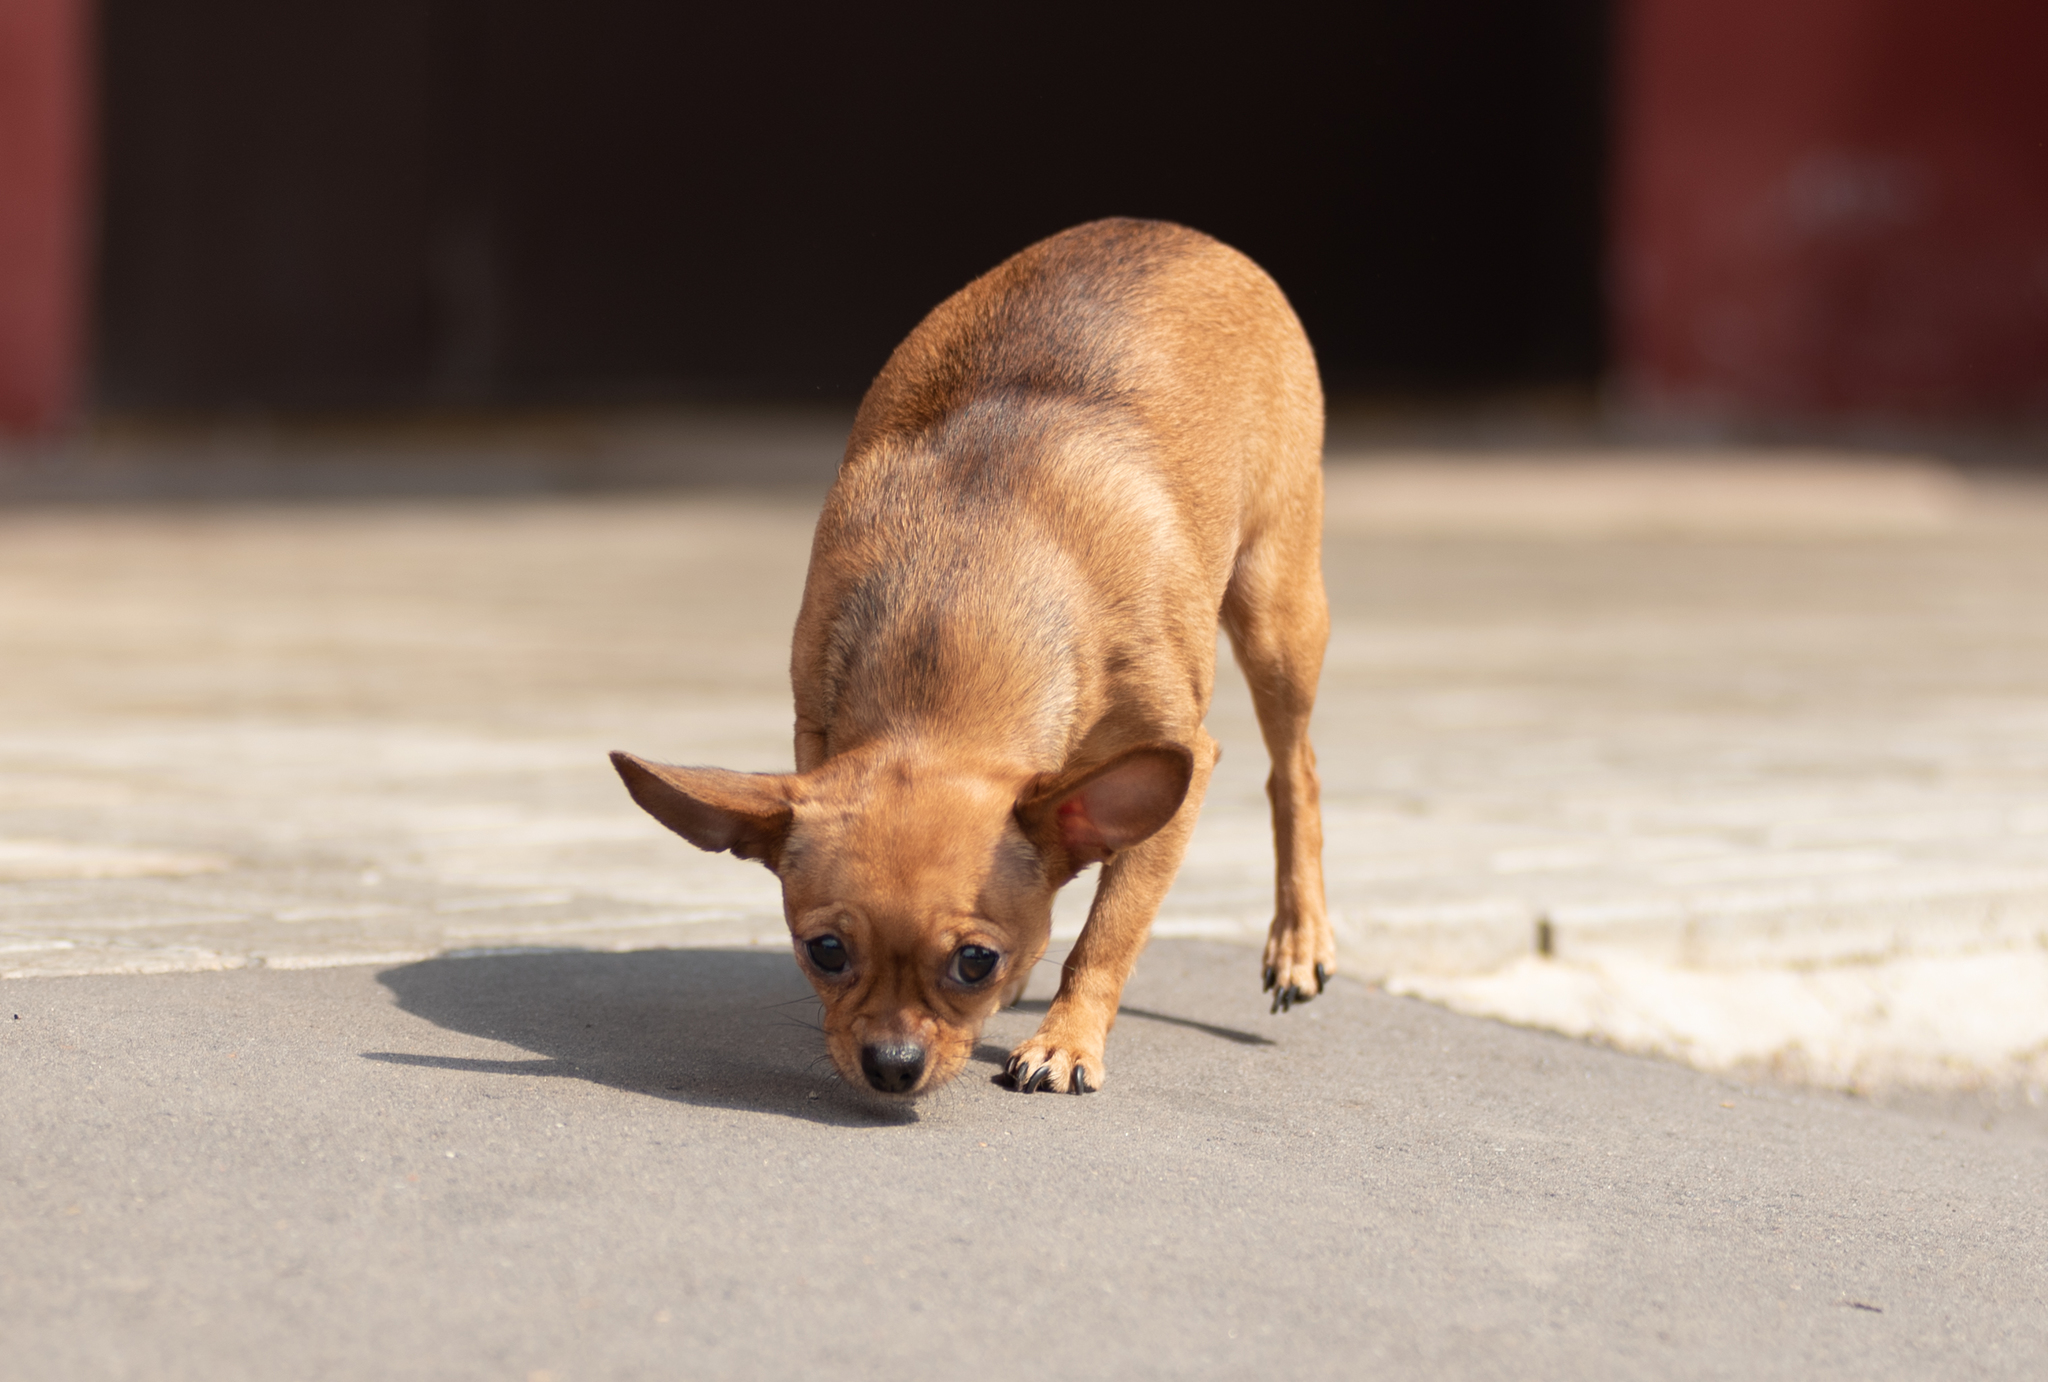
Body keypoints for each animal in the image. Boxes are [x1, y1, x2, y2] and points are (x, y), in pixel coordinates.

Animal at [610, 216, 1327, 1105]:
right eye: (825, 952)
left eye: (974, 962)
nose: (890, 1065)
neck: (957, 598)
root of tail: (1167, 230)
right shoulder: (816, 731)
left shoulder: (1178, 771)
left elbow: (1109, 931)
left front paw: (1066, 1037)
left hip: (1277, 611)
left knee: (1294, 770)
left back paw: (1300, 941)